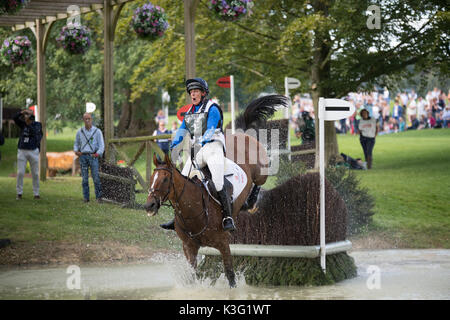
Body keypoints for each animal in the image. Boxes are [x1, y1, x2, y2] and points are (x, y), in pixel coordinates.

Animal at [146, 94, 290, 286]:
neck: (193, 210)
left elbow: (230, 274)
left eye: (165, 179)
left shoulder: (223, 243)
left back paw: (251, 202)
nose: (149, 205)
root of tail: (243, 134)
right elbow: (193, 276)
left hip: (261, 171)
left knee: (259, 181)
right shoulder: (189, 247)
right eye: (152, 179)